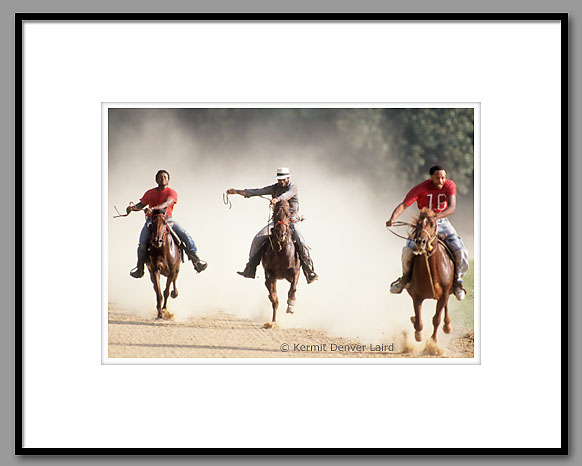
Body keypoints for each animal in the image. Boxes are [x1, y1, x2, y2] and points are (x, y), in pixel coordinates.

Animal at [264, 199, 302, 328]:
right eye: (274, 214)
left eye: (288, 215)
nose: (281, 234)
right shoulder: (269, 272)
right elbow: (273, 296)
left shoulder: (295, 271)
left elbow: (293, 288)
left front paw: (291, 305)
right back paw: (273, 321)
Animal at [406, 208, 456, 342]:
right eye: (418, 224)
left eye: (432, 224)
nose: (421, 242)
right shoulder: (416, 296)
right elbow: (418, 320)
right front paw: (418, 333)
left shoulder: (444, 294)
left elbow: (436, 319)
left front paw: (433, 342)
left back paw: (448, 325)